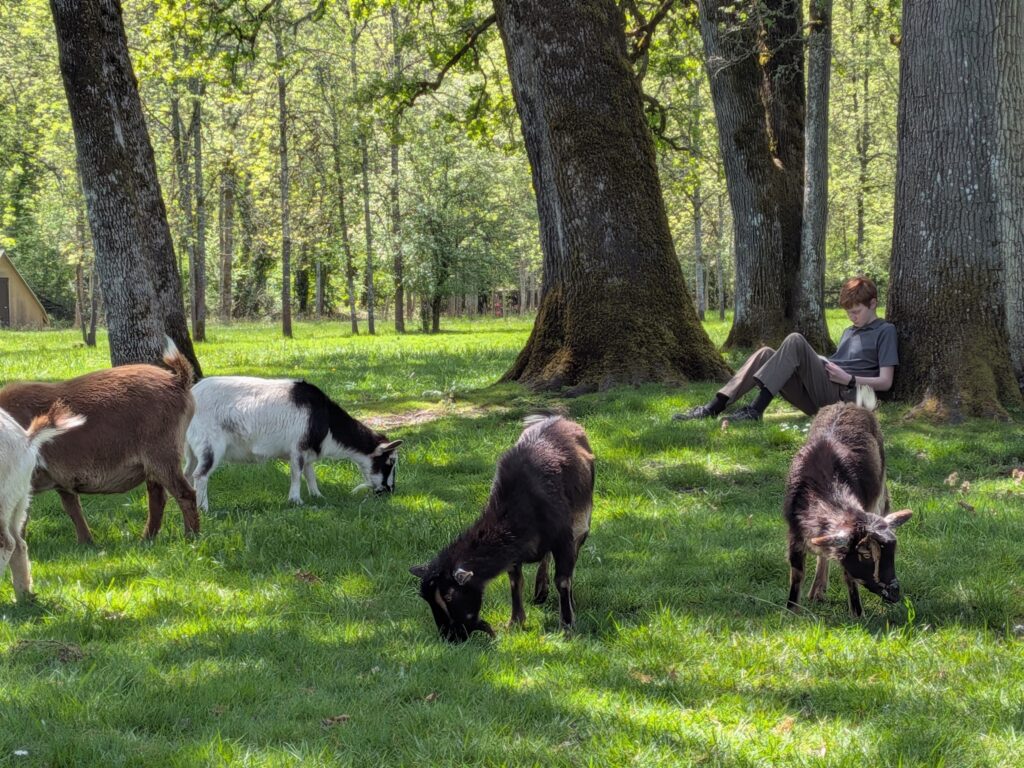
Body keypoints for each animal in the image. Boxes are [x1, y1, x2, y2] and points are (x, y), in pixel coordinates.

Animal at [0, 339, 199, 544]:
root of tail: (178, 381)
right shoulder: (60, 480)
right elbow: (71, 507)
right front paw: (86, 543)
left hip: (163, 454)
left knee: (185, 494)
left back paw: (190, 538)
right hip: (153, 464)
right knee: (157, 497)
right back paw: (146, 540)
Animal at [184, 376, 403, 511]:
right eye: (390, 461)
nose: (389, 491)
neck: (327, 422)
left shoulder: (308, 454)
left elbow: (310, 475)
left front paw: (318, 496)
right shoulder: (297, 448)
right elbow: (297, 474)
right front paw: (296, 500)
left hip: (191, 449)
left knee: (187, 473)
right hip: (210, 445)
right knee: (200, 475)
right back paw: (204, 508)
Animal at [410, 415, 594, 642]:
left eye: (450, 597)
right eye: (427, 599)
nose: (450, 637)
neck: (517, 503)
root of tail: (561, 419)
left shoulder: (563, 537)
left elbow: (563, 580)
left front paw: (567, 626)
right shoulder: (516, 552)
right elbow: (516, 581)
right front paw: (515, 622)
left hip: (582, 522)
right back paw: (540, 592)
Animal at [783, 385, 912, 617]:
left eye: (893, 550)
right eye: (865, 554)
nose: (894, 593)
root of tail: (854, 404)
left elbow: (847, 574)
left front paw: (857, 613)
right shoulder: (794, 531)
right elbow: (797, 573)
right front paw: (791, 612)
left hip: (881, 493)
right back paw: (817, 591)